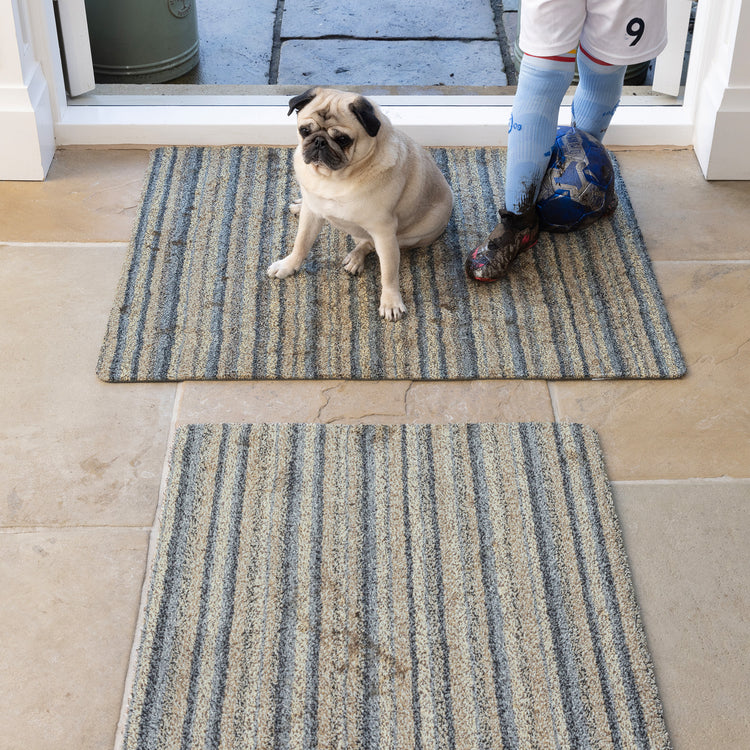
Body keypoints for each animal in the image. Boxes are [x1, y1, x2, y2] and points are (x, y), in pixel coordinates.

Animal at [268, 87, 452, 320]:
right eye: (304, 130)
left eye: (343, 139)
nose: (319, 141)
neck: (333, 178)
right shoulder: (311, 215)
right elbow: (301, 243)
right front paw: (289, 265)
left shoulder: (384, 232)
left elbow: (389, 271)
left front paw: (391, 301)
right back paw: (300, 205)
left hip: (412, 236)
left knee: (368, 243)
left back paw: (356, 258)